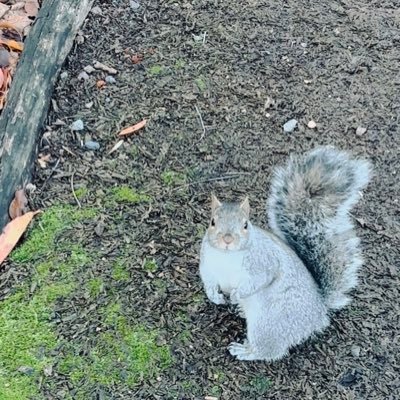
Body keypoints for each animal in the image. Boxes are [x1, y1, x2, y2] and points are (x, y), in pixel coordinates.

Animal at [200, 145, 372, 360]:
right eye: (212, 222)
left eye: (245, 225)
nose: (227, 239)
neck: (227, 256)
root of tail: (319, 314)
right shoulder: (207, 263)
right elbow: (208, 280)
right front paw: (215, 296)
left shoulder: (263, 263)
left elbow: (258, 281)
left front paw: (237, 294)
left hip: (268, 325)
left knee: (268, 352)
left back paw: (245, 351)